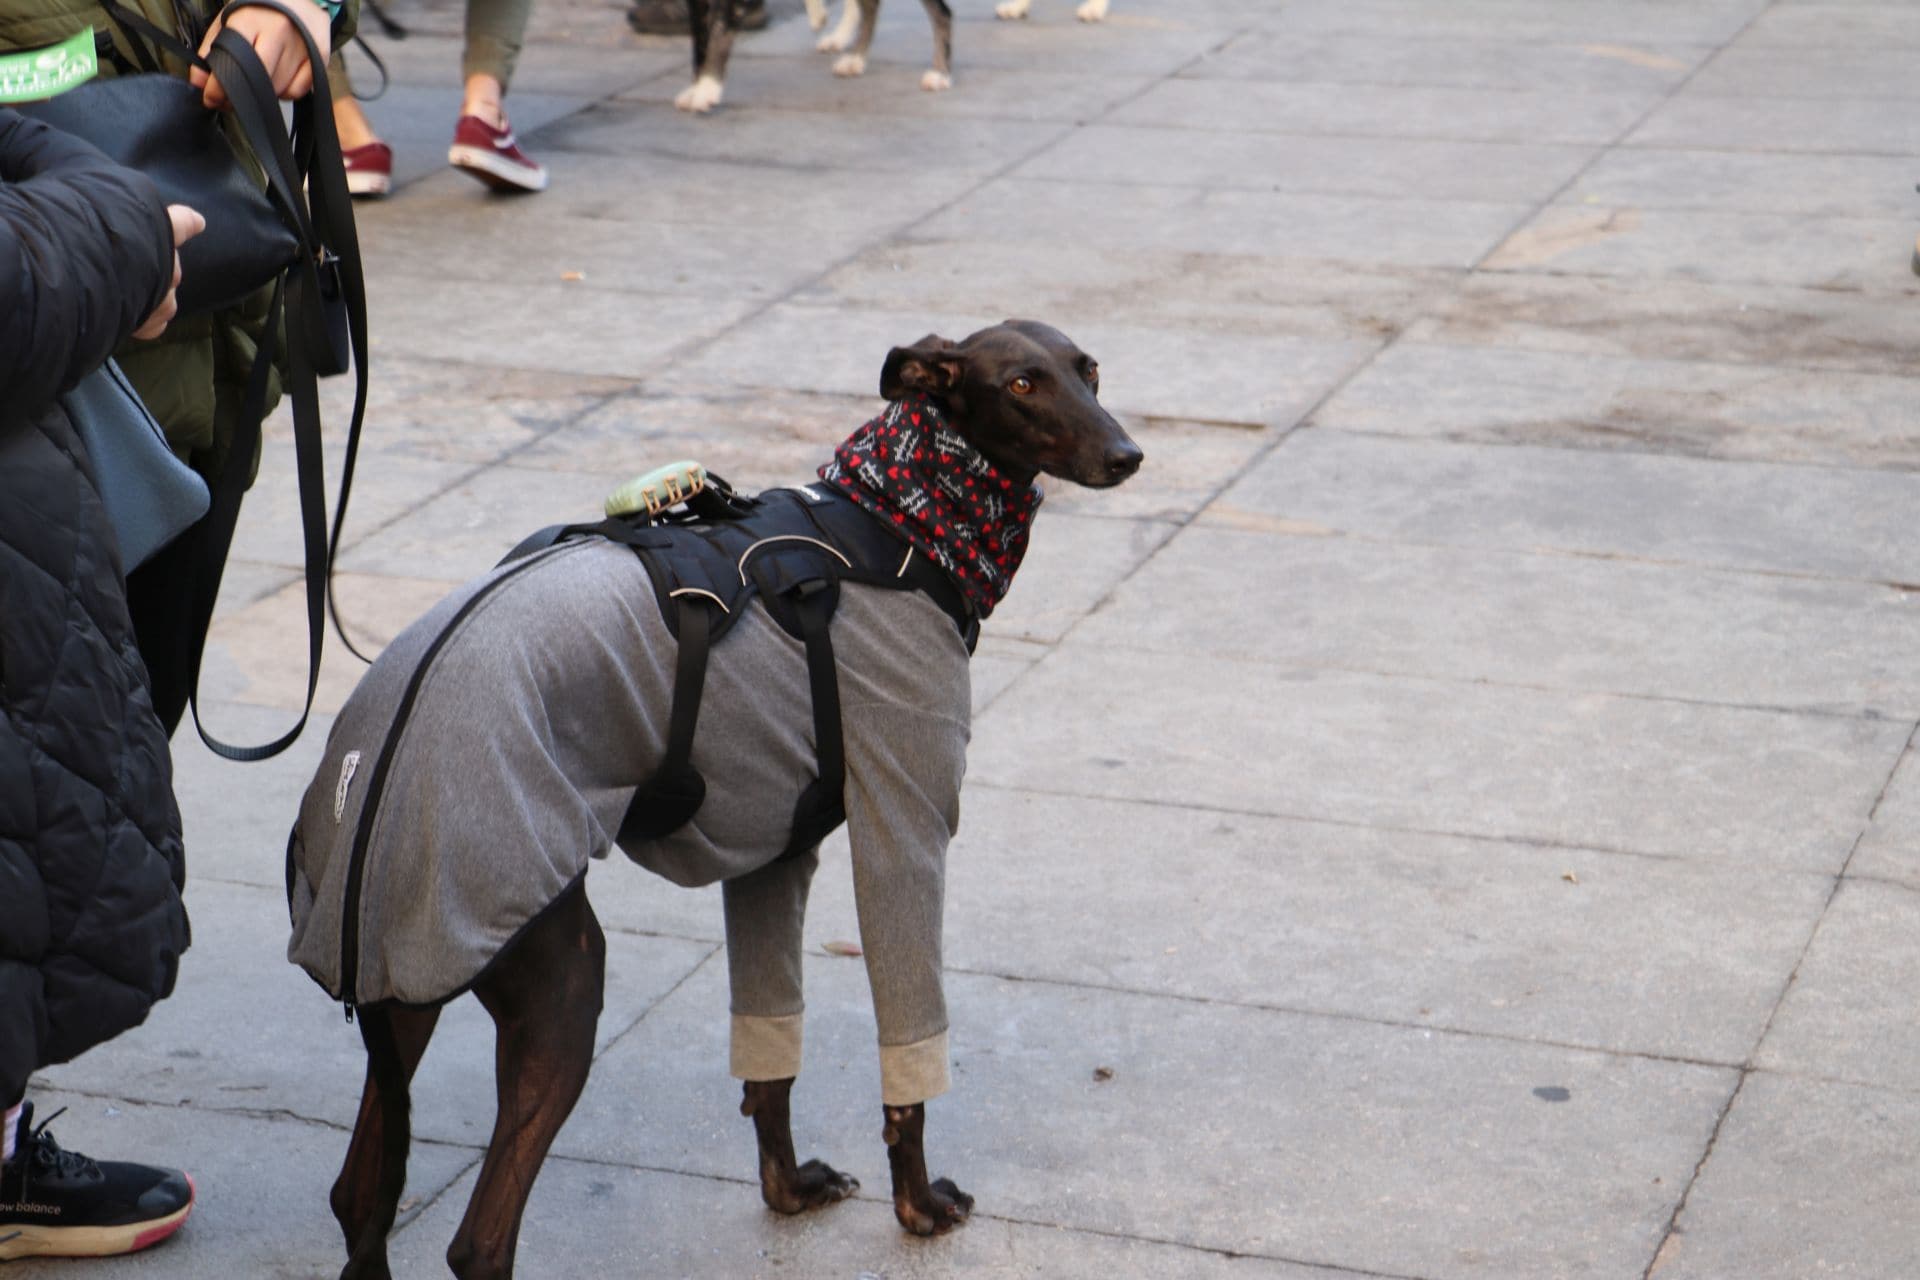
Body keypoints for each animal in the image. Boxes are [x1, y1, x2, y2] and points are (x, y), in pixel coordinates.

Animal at [303, 322, 1136, 1280]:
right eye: (1023, 384)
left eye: (1089, 370)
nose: (1129, 454)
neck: (898, 518)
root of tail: (364, 778)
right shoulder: (904, 830)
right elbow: (909, 1062)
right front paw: (918, 1206)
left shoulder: (775, 855)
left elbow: (769, 1053)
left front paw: (790, 1193)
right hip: (556, 984)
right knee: (478, 1243)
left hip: (406, 986)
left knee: (358, 1194)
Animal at [679, 0, 956, 112]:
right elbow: (701, 36)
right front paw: (698, 86)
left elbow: (719, 30)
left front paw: (708, 87)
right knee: (871, 6)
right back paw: (856, 58)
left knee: (943, 12)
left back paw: (940, 72)